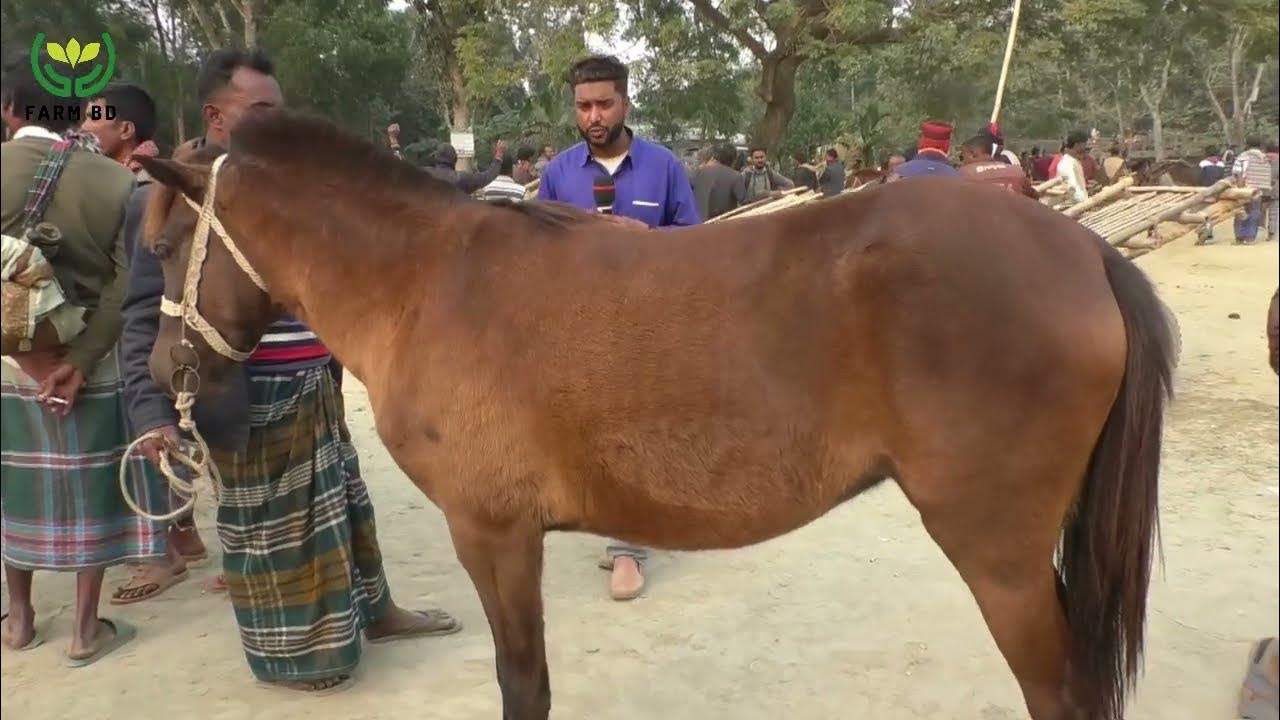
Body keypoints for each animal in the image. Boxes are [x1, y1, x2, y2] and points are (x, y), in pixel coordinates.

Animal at [137, 110, 1174, 720]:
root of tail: (1082, 252)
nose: (164, 371)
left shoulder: (493, 532)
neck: (428, 284)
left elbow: (523, 683)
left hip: (997, 556)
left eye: (169, 243)